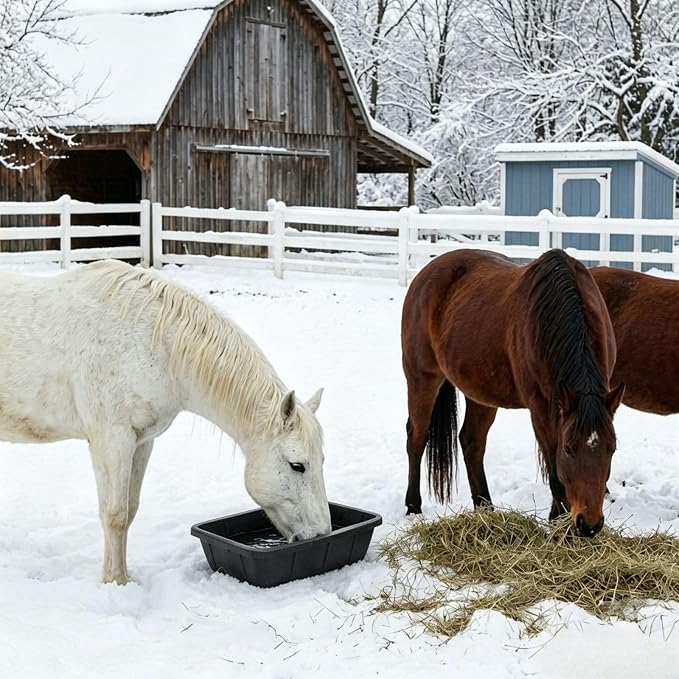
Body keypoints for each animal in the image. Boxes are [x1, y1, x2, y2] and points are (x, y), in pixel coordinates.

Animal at [0, 260, 331, 584]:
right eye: (297, 465)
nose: (320, 535)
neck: (153, 342)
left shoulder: (142, 441)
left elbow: (129, 511)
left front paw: (123, 577)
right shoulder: (112, 440)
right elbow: (114, 514)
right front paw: (115, 583)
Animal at [401, 249, 625, 536]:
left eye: (612, 448)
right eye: (568, 448)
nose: (589, 525)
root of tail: (426, 274)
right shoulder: (541, 409)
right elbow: (555, 472)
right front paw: (557, 524)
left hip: (481, 392)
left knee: (471, 442)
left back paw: (485, 508)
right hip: (422, 379)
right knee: (417, 437)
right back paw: (413, 506)